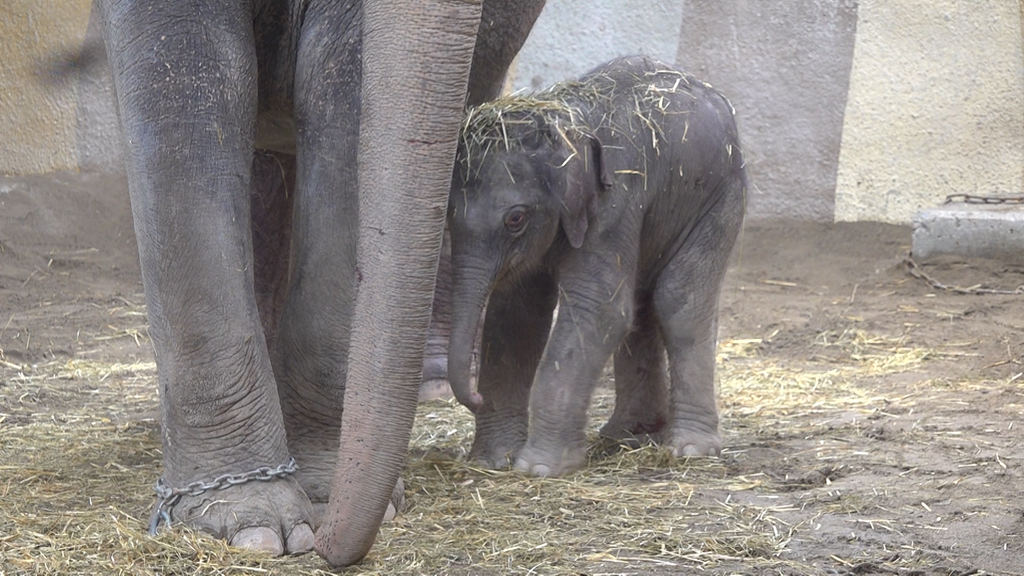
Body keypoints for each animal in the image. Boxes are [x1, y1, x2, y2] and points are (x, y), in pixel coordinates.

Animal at [96, 0, 544, 565]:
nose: (327, 547)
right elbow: (186, 83)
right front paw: (252, 528)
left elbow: (343, 91)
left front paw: (320, 496)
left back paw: (434, 386)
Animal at [446, 54, 745, 475]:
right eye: (447, 216)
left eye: (515, 218)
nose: (473, 398)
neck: (560, 119)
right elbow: (517, 315)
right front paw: (494, 460)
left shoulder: (612, 203)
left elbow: (597, 309)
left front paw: (539, 469)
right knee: (643, 302)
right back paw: (629, 435)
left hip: (722, 196)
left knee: (680, 299)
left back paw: (689, 449)